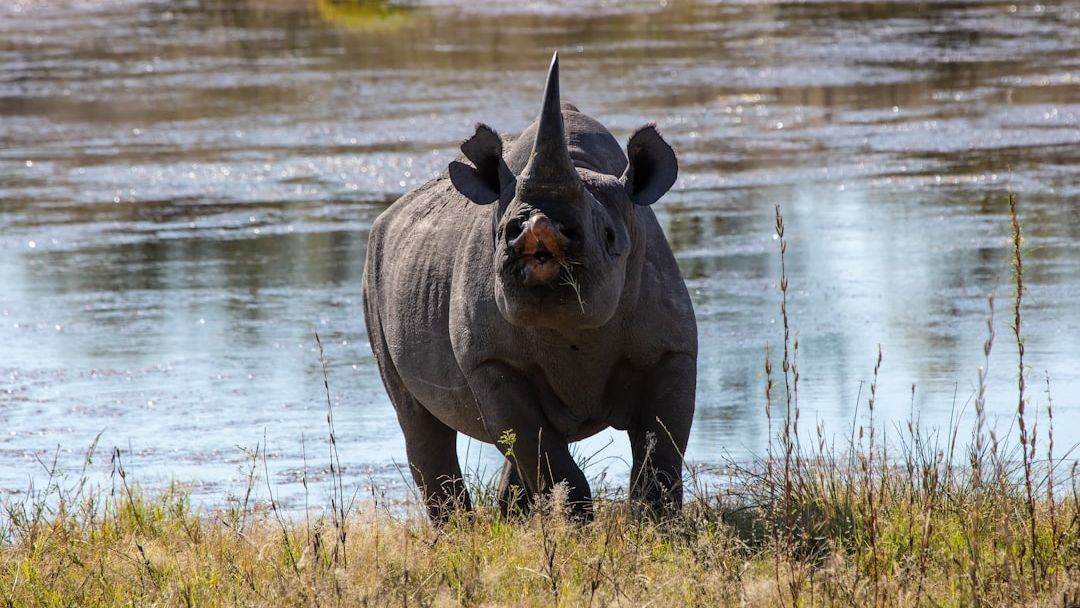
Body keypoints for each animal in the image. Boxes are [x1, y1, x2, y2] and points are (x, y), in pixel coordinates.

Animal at [362, 52, 697, 522]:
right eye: (505, 231)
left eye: (611, 237)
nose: (536, 226)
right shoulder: (489, 361)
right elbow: (543, 454)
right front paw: (577, 527)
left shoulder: (672, 349)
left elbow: (660, 451)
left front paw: (654, 526)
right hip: (373, 273)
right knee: (422, 424)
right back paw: (459, 531)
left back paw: (509, 521)